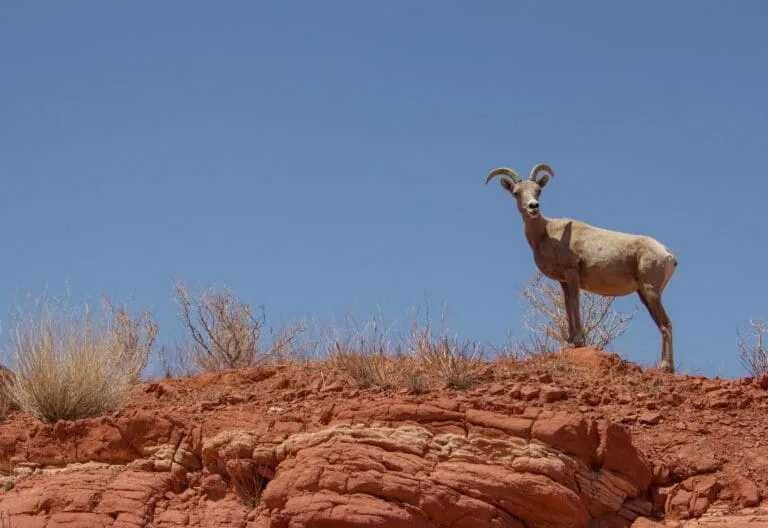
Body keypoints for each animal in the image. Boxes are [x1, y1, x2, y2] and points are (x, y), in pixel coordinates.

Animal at [485, 163, 678, 373]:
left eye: (538, 190)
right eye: (516, 193)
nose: (533, 206)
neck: (545, 234)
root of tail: (668, 254)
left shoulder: (572, 272)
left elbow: (575, 301)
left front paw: (579, 341)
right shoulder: (563, 280)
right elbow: (567, 303)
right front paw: (570, 341)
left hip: (651, 292)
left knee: (666, 324)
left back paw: (665, 367)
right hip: (644, 295)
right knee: (663, 325)